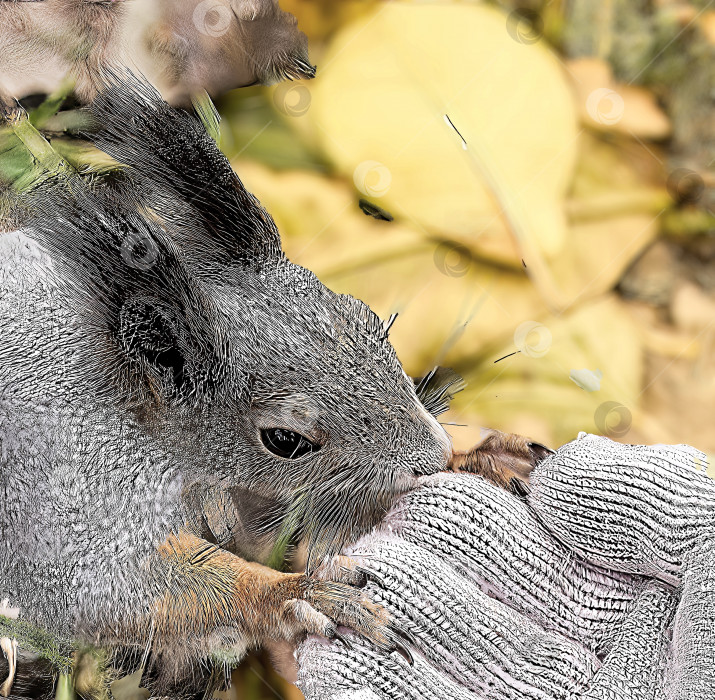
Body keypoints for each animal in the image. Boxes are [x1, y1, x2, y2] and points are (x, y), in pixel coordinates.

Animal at [0, 79, 548, 696]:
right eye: (285, 441)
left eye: (367, 318)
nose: (432, 455)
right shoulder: (68, 495)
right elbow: (108, 587)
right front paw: (298, 597)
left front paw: (482, 459)